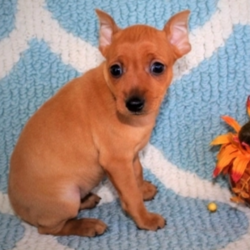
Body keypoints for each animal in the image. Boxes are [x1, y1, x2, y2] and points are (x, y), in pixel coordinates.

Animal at [8, 9, 191, 236]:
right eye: (115, 70)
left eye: (157, 67)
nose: (134, 104)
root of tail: (17, 208)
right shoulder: (116, 162)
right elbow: (131, 196)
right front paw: (145, 219)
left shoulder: (131, 156)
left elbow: (137, 174)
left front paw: (143, 189)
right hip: (65, 198)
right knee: (51, 228)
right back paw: (87, 225)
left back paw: (86, 200)